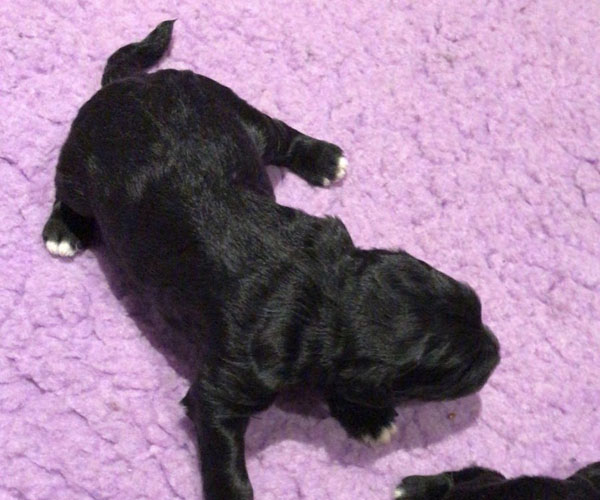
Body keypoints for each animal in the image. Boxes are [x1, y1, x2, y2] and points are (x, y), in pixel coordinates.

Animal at [42, 21, 500, 500]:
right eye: (453, 373)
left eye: (477, 304)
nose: (497, 351)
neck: (324, 295)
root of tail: (123, 85)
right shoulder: (222, 394)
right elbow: (226, 459)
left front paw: (365, 417)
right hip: (80, 169)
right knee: (65, 192)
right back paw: (63, 231)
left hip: (230, 107)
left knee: (277, 131)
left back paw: (323, 158)